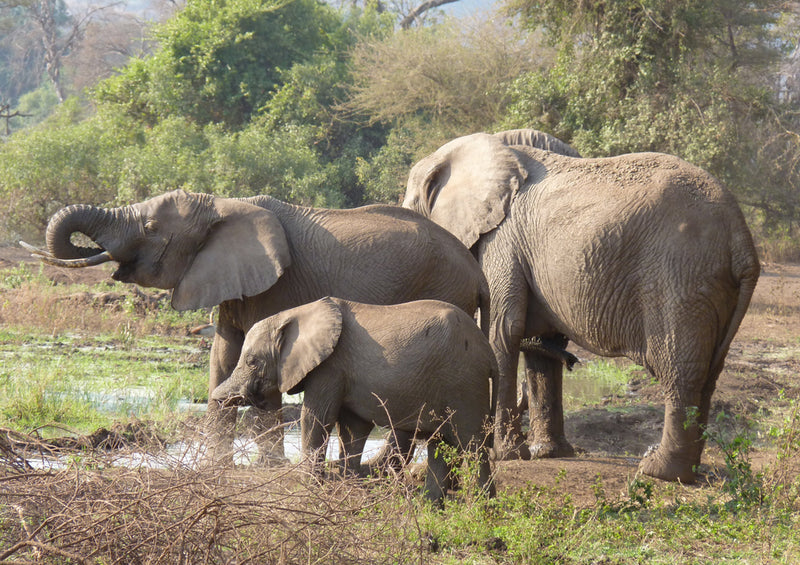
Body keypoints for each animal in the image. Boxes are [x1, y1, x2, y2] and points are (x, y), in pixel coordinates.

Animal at [25, 189, 488, 462]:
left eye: (152, 228)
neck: (222, 204)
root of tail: (477, 272)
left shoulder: (278, 288)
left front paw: (266, 471)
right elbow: (223, 358)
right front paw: (214, 473)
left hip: (442, 292)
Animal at [212, 296, 500, 502]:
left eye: (252, 361)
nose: (219, 398)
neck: (295, 313)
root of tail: (488, 352)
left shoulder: (330, 366)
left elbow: (317, 419)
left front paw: (309, 489)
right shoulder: (343, 372)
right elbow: (352, 430)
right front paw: (348, 490)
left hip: (464, 383)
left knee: (473, 445)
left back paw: (484, 508)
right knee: (440, 444)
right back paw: (429, 507)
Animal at [404, 131, 760, 480]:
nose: (573, 360)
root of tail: (741, 237)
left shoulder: (502, 241)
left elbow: (502, 332)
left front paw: (504, 455)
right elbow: (539, 345)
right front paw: (547, 453)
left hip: (681, 278)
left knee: (679, 370)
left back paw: (658, 470)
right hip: (711, 288)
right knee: (709, 373)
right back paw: (688, 470)